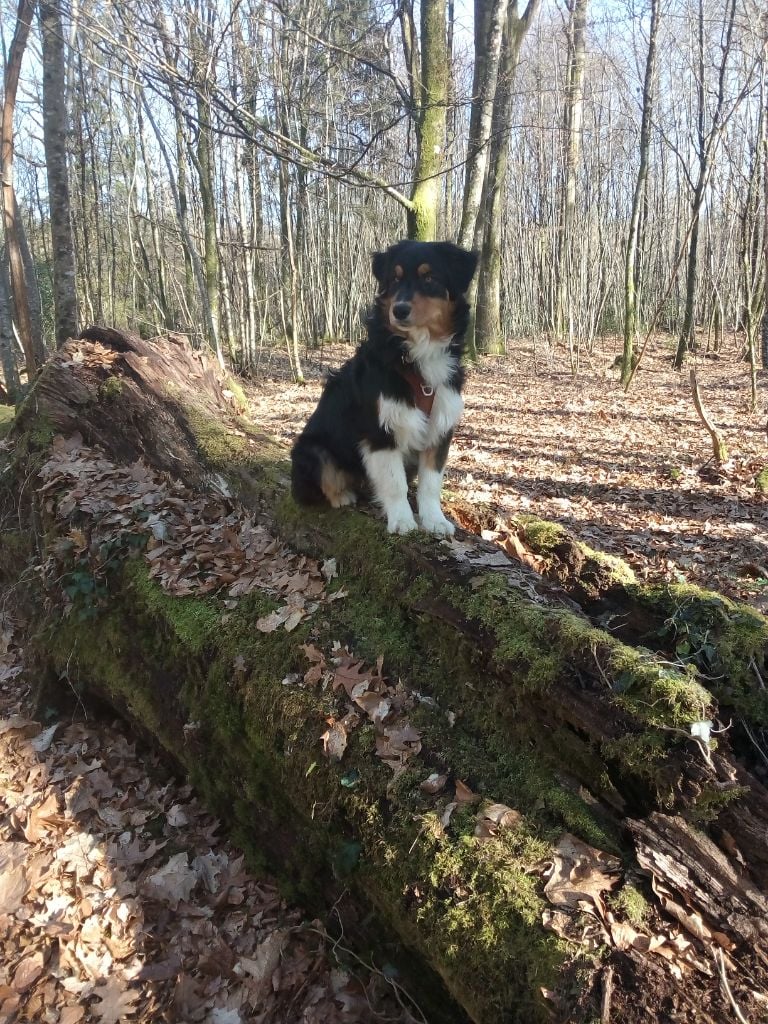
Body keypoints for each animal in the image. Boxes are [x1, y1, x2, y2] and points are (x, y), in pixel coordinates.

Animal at [290, 239, 477, 536]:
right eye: (395, 279)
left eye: (429, 278)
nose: (398, 310)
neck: (416, 355)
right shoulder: (380, 430)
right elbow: (394, 482)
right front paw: (402, 520)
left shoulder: (440, 427)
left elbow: (431, 483)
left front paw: (434, 520)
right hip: (311, 449)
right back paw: (342, 496)